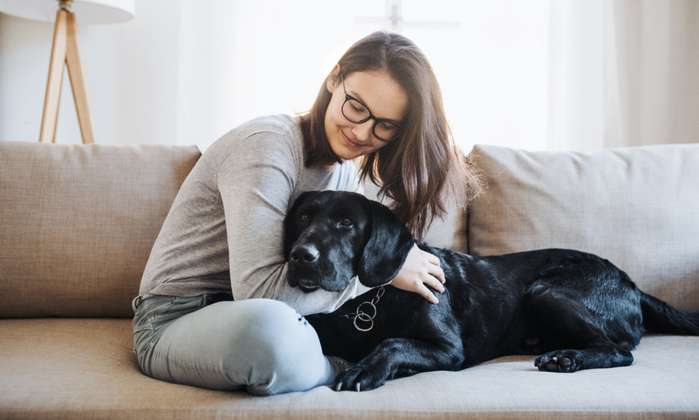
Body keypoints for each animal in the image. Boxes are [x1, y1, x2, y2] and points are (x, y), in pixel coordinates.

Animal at [284, 192, 699, 392]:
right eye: (303, 217)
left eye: (346, 224)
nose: (300, 255)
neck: (369, 302)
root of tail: (632, 283)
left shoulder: (449, 348)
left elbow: (393, 343)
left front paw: (364, 370)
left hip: (545, 290)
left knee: (620, 351)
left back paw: (566, 358)